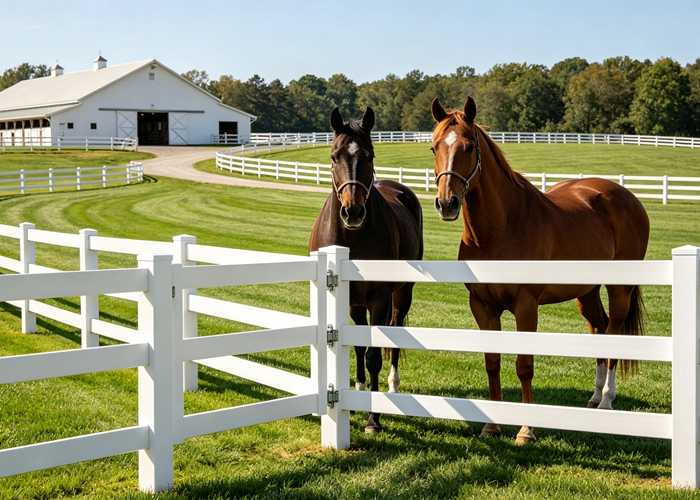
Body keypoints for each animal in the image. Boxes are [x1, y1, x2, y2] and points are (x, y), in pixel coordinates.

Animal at [309, 106, 424, 433]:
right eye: (334, 156)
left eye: (370, 155)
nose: (353, 211)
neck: (351, 239)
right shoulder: (350, 299)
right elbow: (358, 346)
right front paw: (359, 393)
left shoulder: (380, 298)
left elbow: (374, 354)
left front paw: (374, 418)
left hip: (402, 294)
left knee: (395, 333)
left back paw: (393, 386)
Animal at [430, 96, 650, 445]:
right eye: (434, 147)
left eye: (469, 147)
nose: (446, 203)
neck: (500, 229)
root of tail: (627, 197)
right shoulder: (482, 306)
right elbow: (492, 362)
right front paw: (491, 426)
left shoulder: (526, 306)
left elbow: (524, 365)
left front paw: (526, 430)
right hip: (587, 293)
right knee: (599, 329)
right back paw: (594, 398)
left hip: (620, 289)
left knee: (614, 334)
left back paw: (606, 401)